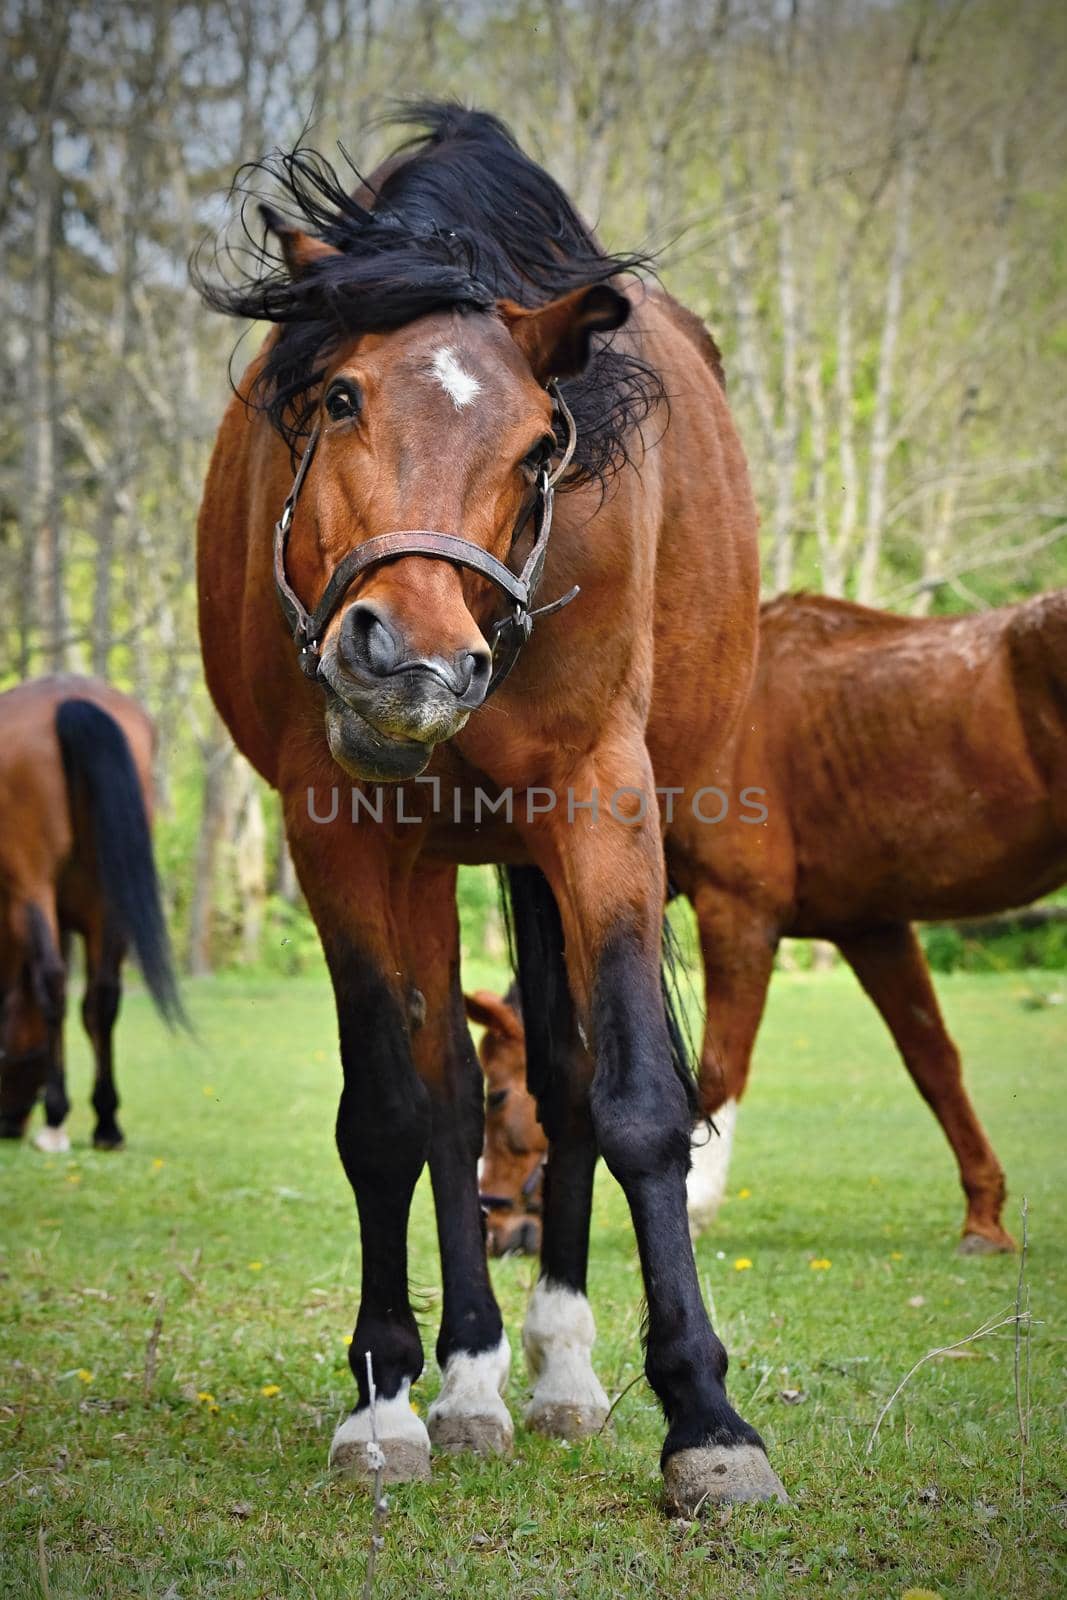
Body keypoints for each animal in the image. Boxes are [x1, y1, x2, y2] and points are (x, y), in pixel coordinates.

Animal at [0, 675, 180, 1152]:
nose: (9, 1125)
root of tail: (69, 699)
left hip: (35, 890)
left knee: (54, 985)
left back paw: (55, 1121)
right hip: (112, 901)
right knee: (103, 996)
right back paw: (106, 1123)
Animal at [194, 103, 783, 1510]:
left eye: (537, 446)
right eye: (340, 397)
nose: (409, 658)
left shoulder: (598, 805)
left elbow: (633, 1102)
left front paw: (706, 1418)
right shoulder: (339, 830)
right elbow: (392, 1110)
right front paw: (384, 1395)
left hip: (527, 847)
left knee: (560, 1075)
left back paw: (559, 1369)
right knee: (451, 1091)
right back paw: (464, 1381)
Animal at [473, 585, 1067, 1248]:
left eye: (498, 1096)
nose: (496, 1225)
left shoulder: (740, 916)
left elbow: (719, 1069)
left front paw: (696, 1206)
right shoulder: (871, 928)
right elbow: (934, 1063)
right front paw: (984, 1214)